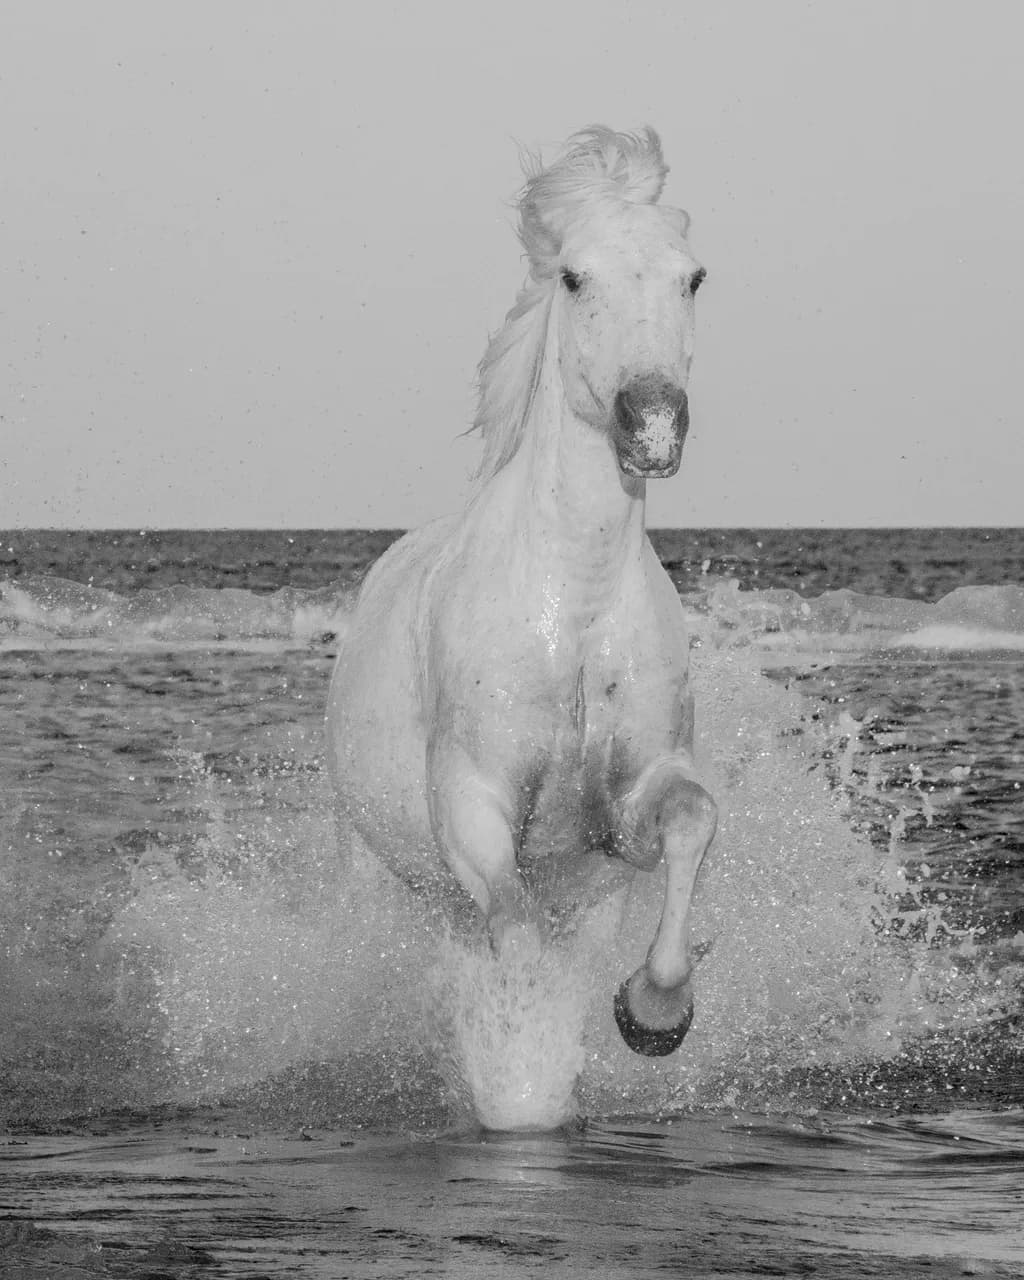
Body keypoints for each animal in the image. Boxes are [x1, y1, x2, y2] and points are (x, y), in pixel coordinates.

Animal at [326, 125, 717, 1057]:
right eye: (574, 276)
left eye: (692, 276)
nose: (653, 422)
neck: (573, 609)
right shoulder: (474, 807)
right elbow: (517, 932)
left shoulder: (630, 809)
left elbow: (693, 820)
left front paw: (654, 1010)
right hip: (373, 867)